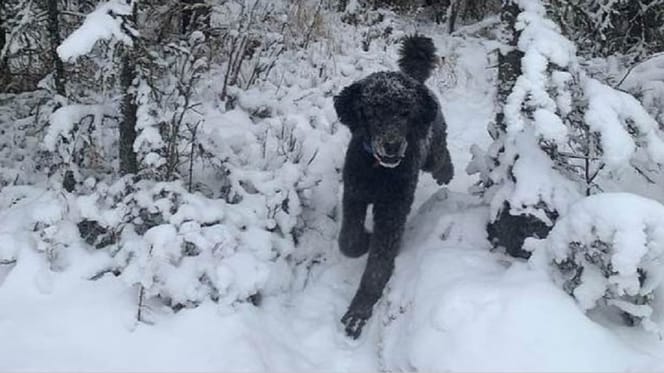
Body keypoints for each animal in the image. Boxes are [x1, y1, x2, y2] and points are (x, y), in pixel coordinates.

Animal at [334, 35, 454, 338]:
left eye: (404, 112)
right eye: (372, 111)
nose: (392, 145)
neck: (378, 172)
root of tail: (414, 79)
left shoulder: (392, 211)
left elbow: (378, 266)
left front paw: (359, 312)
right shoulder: (354, 194)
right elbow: (348, 241)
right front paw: (364, 240)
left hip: (431, 147)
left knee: (440, 156)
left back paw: (446, 172)